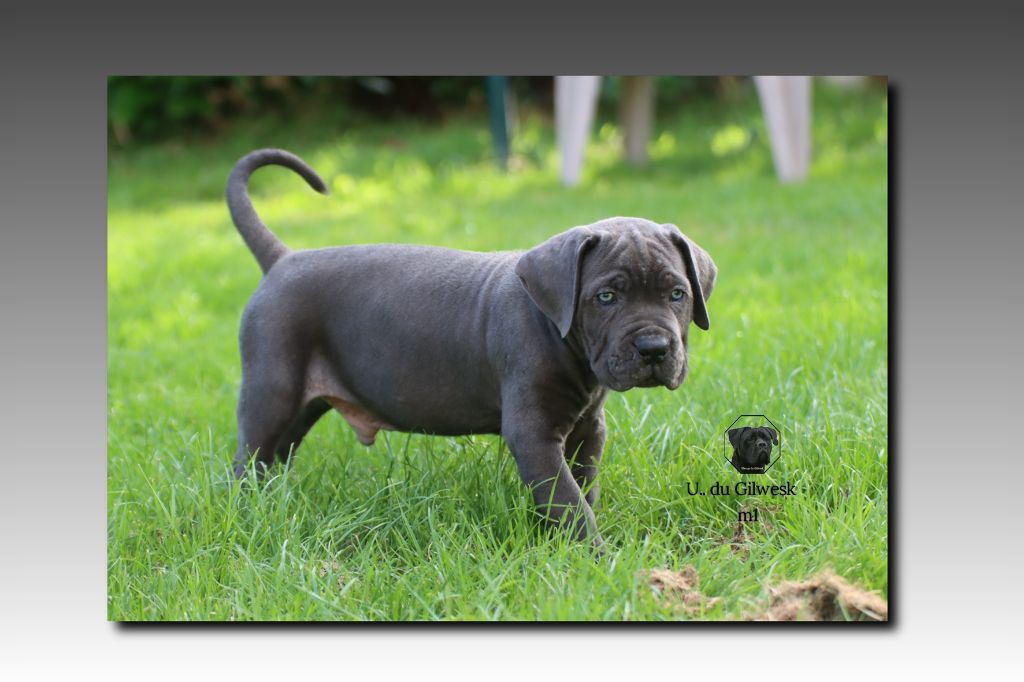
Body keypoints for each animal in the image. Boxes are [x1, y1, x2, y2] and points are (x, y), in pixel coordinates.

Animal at [227, 149, 717, 549]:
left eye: (677, 294)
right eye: (607, 297)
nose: (653, 348)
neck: (559, 333)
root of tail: (283, 260)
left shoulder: (588, 430)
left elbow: (581, 487)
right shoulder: (535, 433)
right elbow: (566, 498)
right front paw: (594, 555)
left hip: (300, 404)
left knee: (275, 458)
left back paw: (276, 504)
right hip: (273, 388)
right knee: (249, 460)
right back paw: (249, 515)